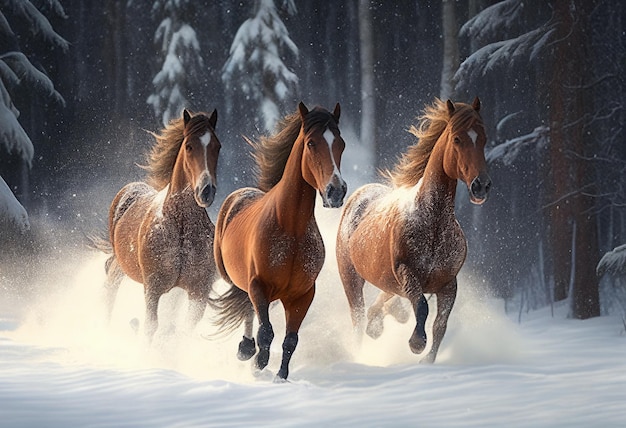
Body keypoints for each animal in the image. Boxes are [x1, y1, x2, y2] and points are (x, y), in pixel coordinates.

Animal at [95, 108, 222, 340]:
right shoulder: (153, 287)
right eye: (189, 146)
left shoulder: (198, 291)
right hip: (121, 266)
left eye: (217, 146)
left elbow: (180, 331)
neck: (180, 226)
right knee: (109, 291)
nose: (206, 191)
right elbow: (151, 327)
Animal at [212, 102, 344, 380]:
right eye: (311, 143)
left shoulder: (303, 295)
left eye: (341, 143)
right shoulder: (258, 285)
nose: (336, 191)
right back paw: (246, 349)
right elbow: (266, 332)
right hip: (234, 277)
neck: (290, 229)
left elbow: (290, 340)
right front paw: (258, 364)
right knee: (246, 304)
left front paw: (280, 376)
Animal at [334, 98, 490, 362]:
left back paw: (379, 324)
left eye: (484, 138)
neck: (433, 224)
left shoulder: (448, 283)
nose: (481, 186)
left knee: (382, 305)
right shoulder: (407, 273)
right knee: (358, 319)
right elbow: (423, 308)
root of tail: (359, 194)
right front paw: (417, 343)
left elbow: (440, 324)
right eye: (457, 139)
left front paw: (427, 360)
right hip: (351, 277)